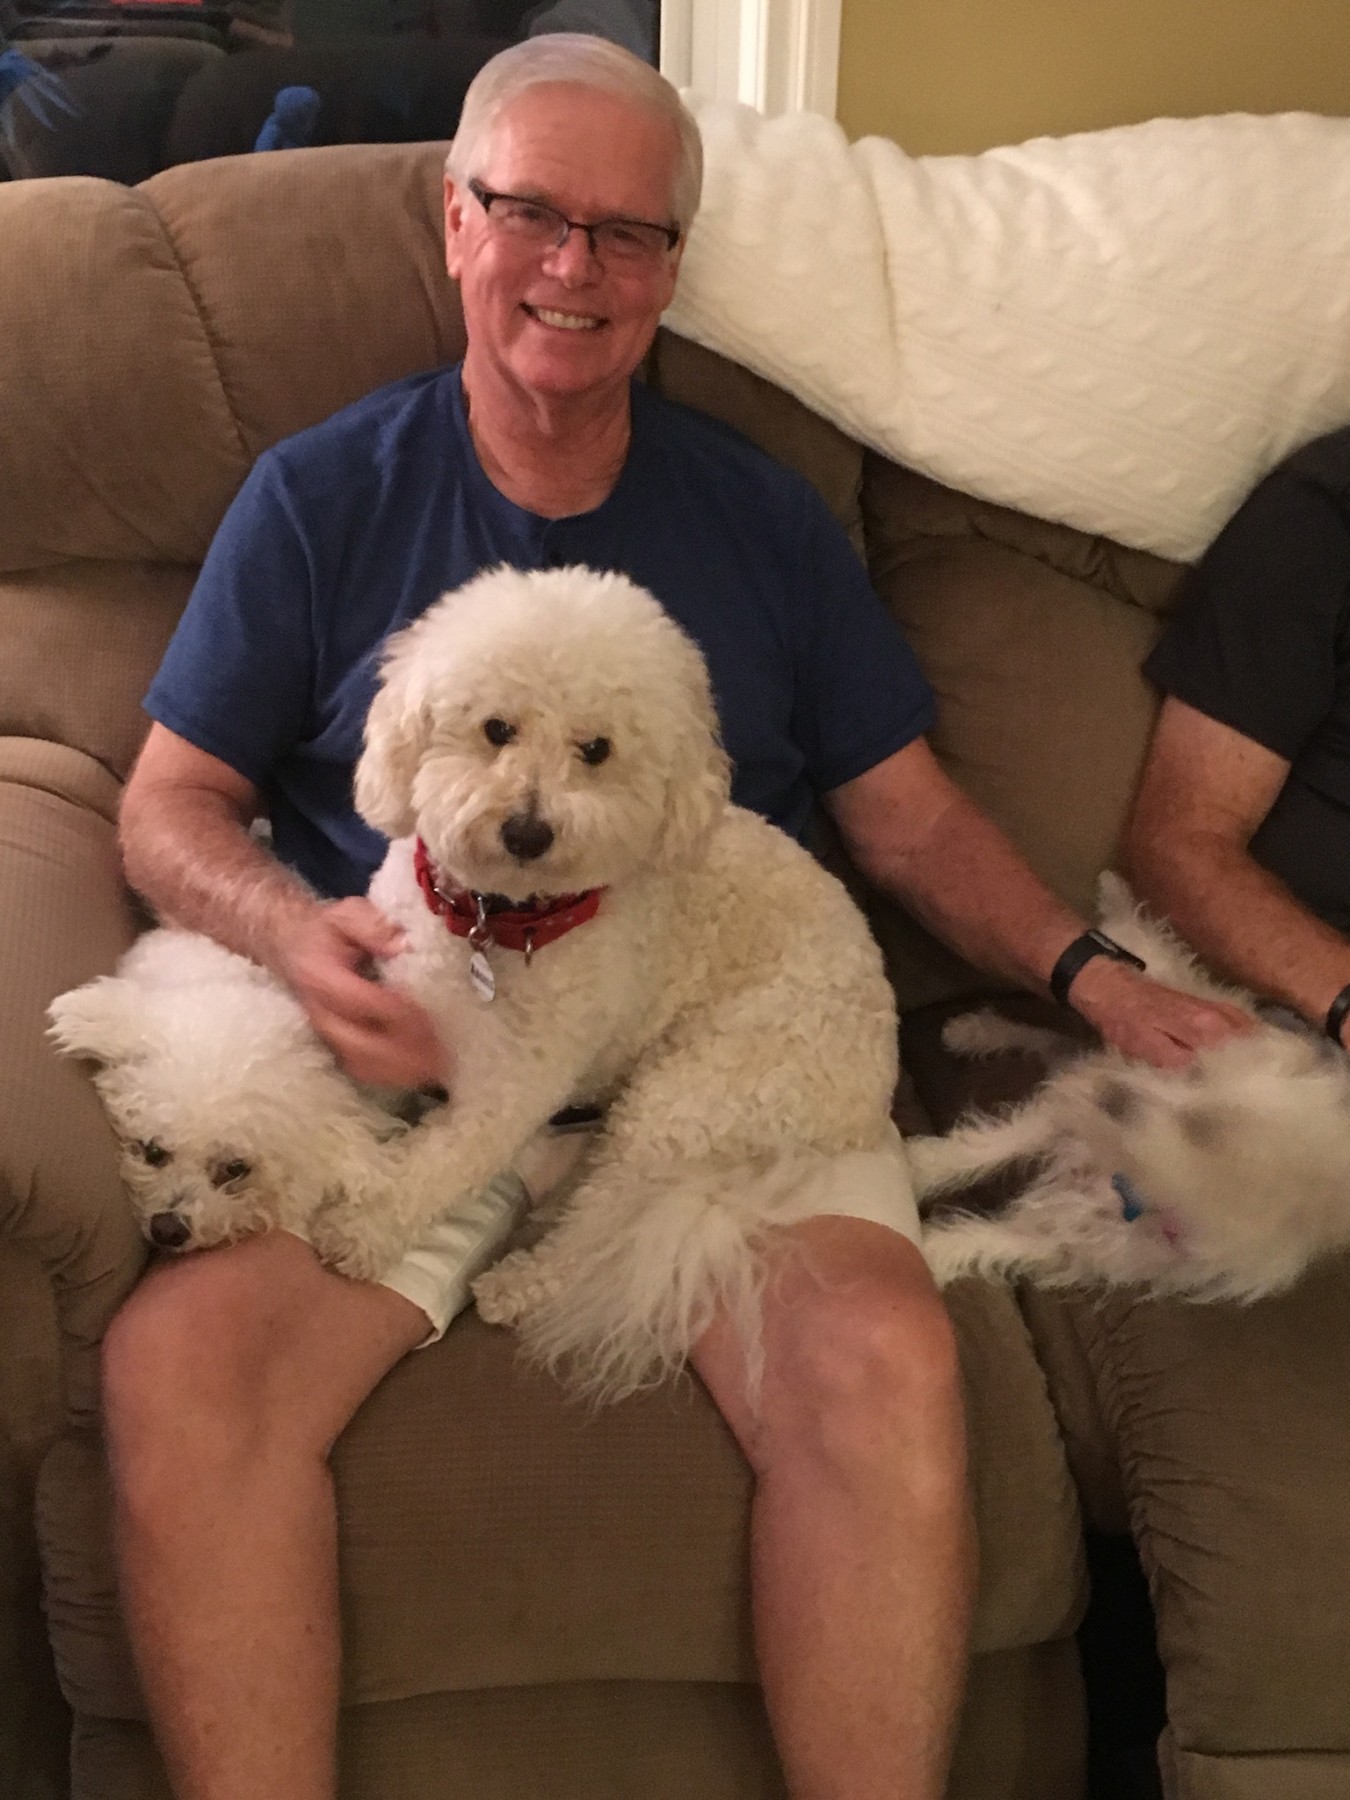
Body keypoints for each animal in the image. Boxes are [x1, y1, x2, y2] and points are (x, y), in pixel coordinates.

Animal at [51, 566, 904, 1401]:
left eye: (596, 749)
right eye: (497, 729)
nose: (527, 830)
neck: (491, 922)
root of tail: (873, 1088)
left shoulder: (511, 1089)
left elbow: (438, 1162)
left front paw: (360, 1228)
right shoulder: (386, 1001)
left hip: (697, 1091)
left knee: (603, 1222)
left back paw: (520, 1281)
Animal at [913, 873, 1350, 1301]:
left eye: (1199, 1129)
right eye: (1197, 1073)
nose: (1109, 1094)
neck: (1133, 1181)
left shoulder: (1075, 1243)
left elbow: (985, 1240)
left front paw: (928, 1251)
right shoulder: (1066, 1112)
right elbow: (985, 1146)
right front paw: (921, 1166)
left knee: (1053, 1043)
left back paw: (978, 1032)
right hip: (1137, 987)